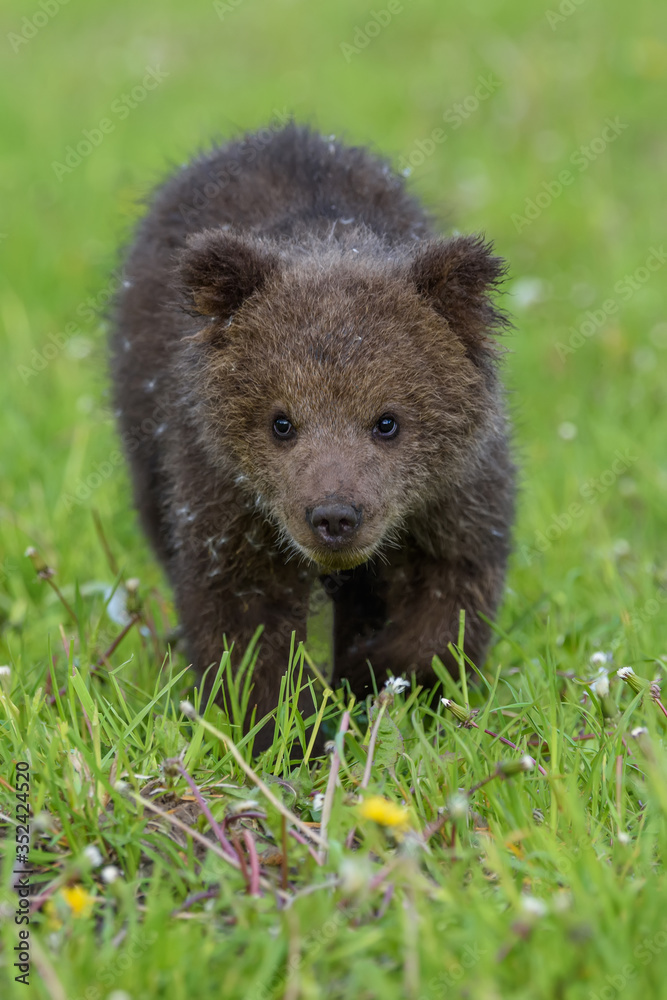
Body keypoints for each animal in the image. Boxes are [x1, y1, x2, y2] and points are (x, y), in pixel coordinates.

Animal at [110, 122, 515, 743]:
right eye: (282, 422)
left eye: (388, 421)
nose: (334, 516)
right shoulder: (225, 495)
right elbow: (245, 623)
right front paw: (287, 732)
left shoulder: (452, 495)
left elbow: (446, 600)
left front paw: (383, 680)